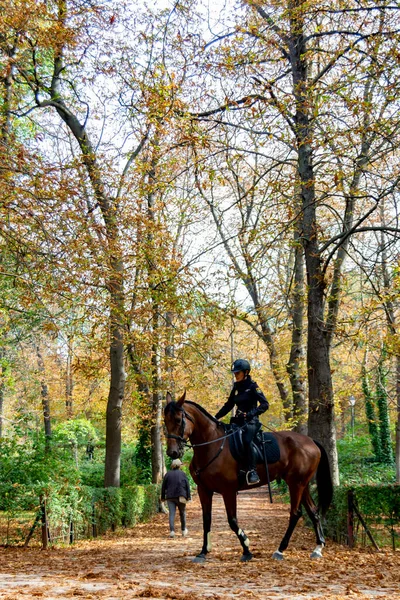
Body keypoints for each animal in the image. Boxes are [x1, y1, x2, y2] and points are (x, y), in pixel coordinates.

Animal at [164, 394, 332, 564]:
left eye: (178, 420)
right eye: (165, 420)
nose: (172, 452)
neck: (212, 445)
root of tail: (311, 441)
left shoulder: (228, 490)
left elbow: (232, 521)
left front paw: (246, 549)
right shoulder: (204, 490)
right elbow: (207, 519)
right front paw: (203, 552)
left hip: (295, 484)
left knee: (295, 513)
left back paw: (280, 550)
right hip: (302, 484)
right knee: (313, 511)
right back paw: (318, 548)